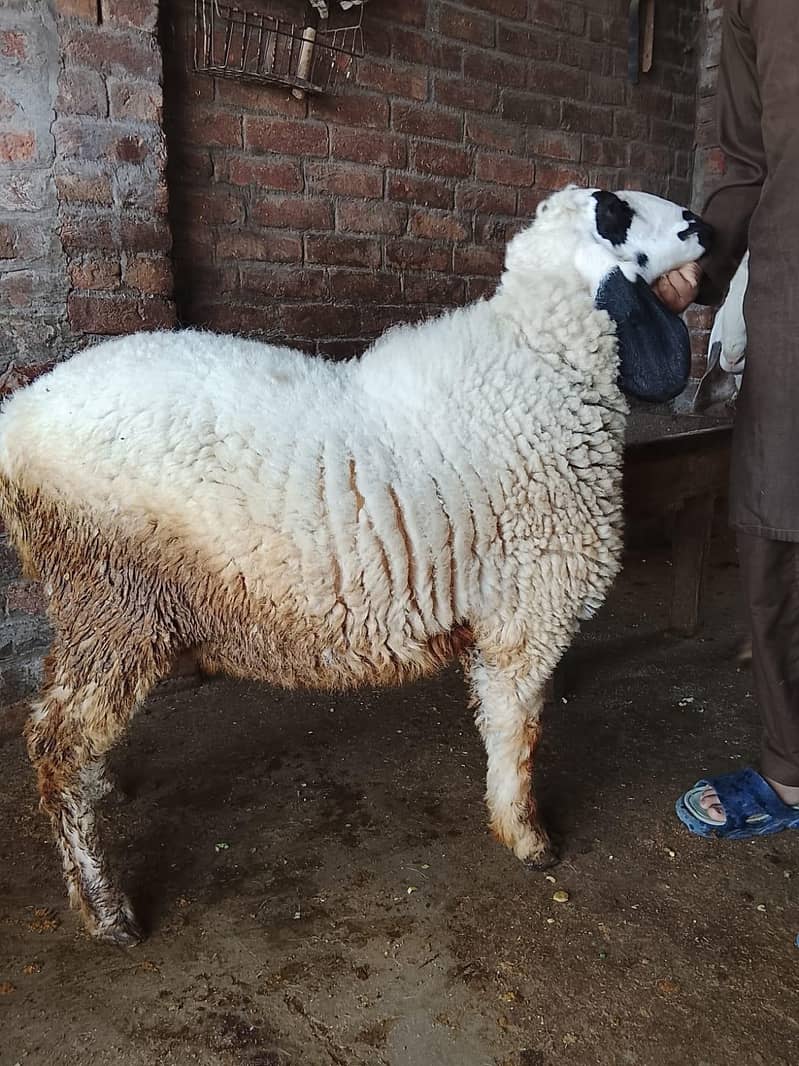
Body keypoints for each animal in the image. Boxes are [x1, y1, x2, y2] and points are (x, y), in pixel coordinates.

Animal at [0, 186, 709, 945]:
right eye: (617, 215)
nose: (703, 225)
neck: (539, 365)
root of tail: (18, 420)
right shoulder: (525, 614)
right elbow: (516, 732)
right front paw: (527, 838)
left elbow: (501, 721)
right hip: (113, 595)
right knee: (55, 742)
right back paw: (106, 910)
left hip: (91, 602)